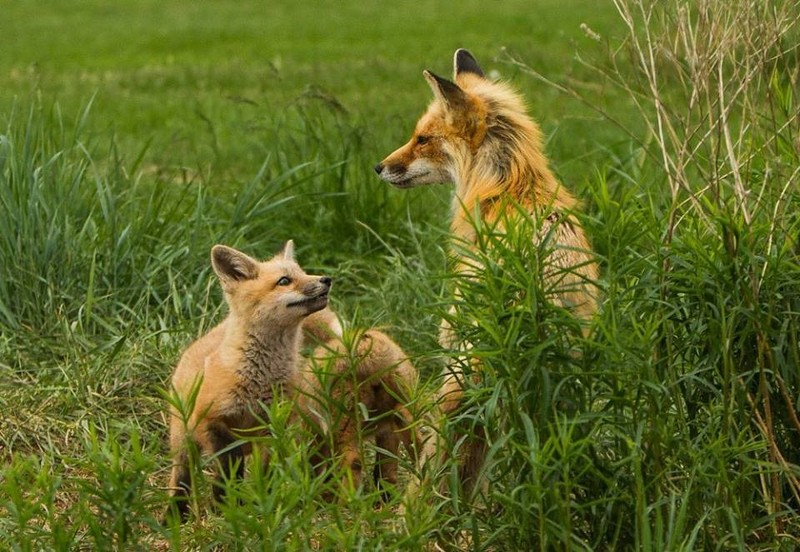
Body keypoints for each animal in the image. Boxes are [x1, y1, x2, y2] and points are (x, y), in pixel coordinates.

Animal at [166, 242, 332, 520]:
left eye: (303, 272)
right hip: (183, 440)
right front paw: (225, 506)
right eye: (284, 281)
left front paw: (262, 505)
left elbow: (264, 471)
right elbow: (228, 465)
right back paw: (174, 516)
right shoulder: (211, 421)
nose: (326, 279)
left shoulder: (272, 425)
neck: (257, 381)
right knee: (181, 479)